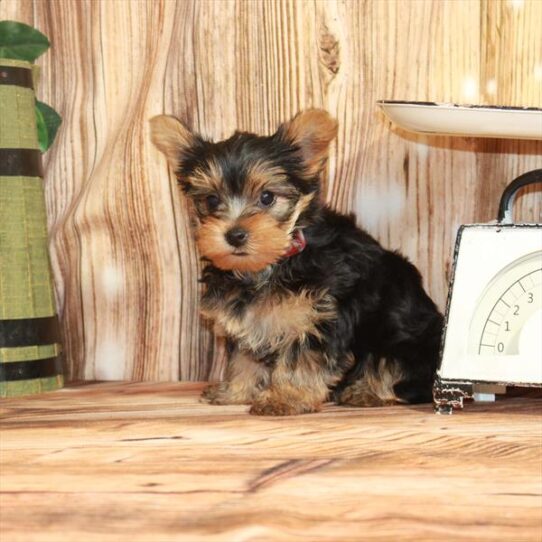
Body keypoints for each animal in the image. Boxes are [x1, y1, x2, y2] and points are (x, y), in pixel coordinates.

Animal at [151, 109, 444, 416]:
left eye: (267, 197)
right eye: (210, 199)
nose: (234, 235)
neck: (277, 261)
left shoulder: (317, 318)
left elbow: (300, 360)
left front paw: (284, 397)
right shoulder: (249, 319)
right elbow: (244, 358)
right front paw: (235, 392)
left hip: (406, 343)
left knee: (396, 371)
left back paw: (366, 392)